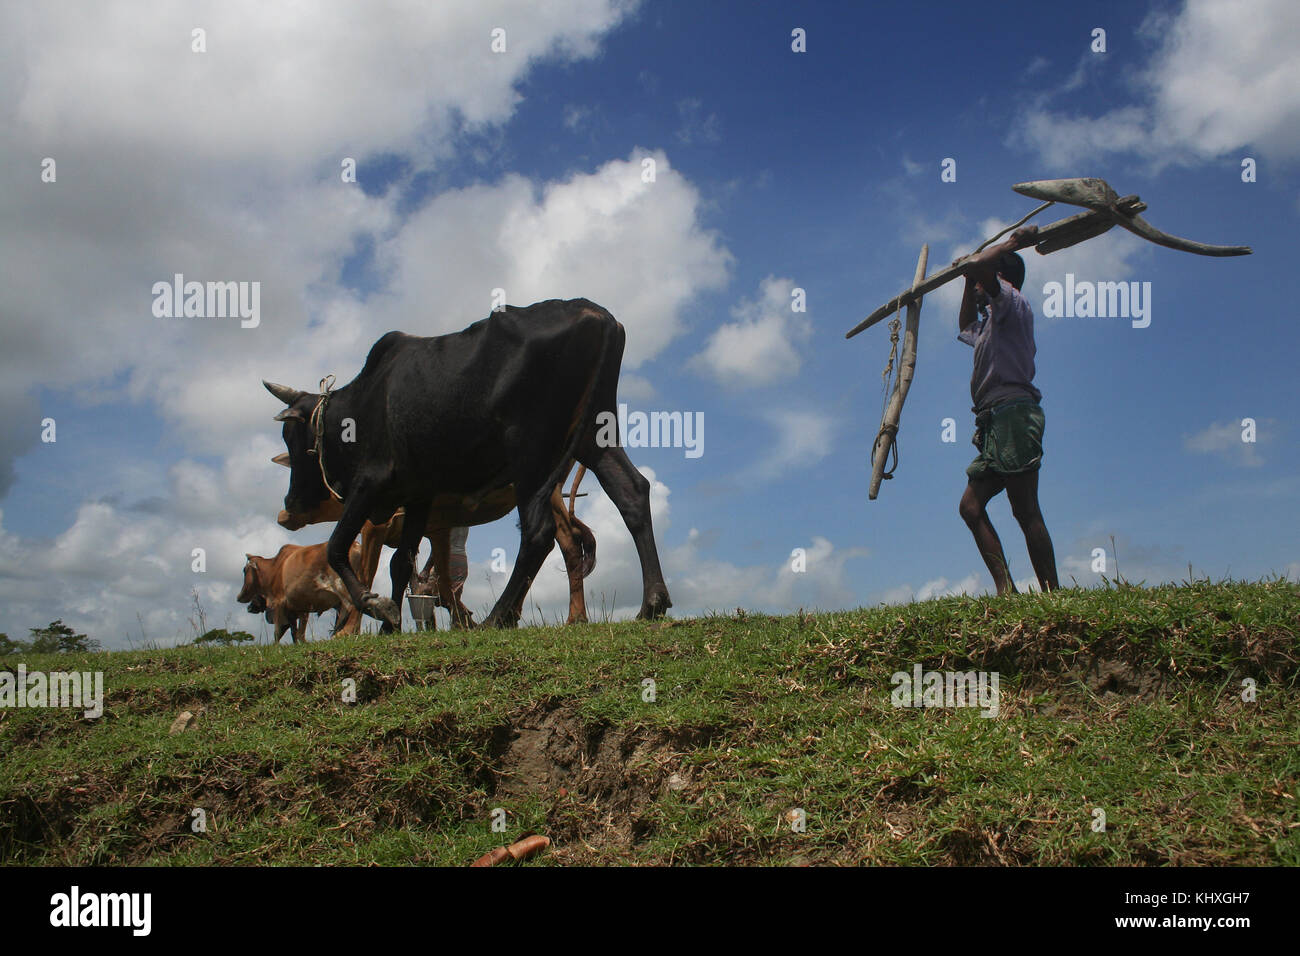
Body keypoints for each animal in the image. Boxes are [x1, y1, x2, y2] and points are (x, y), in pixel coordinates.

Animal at [282, 463, 595, 629]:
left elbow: (371, 573)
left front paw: (354, 627)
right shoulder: (437, 530)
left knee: (562, 540)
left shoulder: (376, 529)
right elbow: (438, 583)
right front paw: (461, 621)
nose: (285, 510)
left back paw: (573, 617)